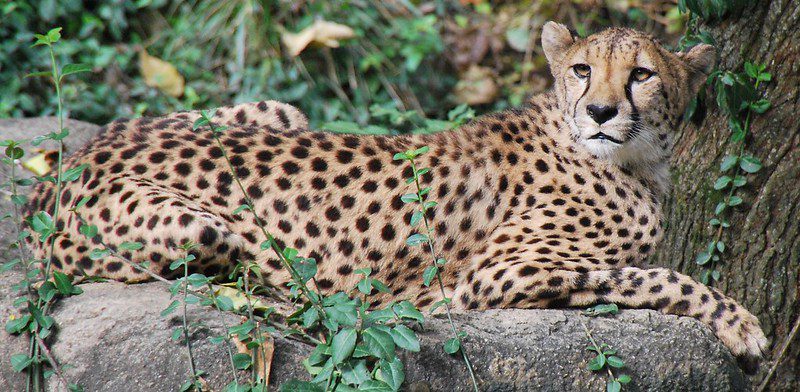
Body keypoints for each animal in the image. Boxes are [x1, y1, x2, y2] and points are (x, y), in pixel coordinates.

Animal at [28, 23, 768, 370]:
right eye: (583, 70)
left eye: (643, 74)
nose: (602, 112)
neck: (634, 161)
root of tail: (70, 162)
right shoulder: (501, 274)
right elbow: (655, 276)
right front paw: (742, 325)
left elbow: (644, 272)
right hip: (194, 228)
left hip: (285, 109)